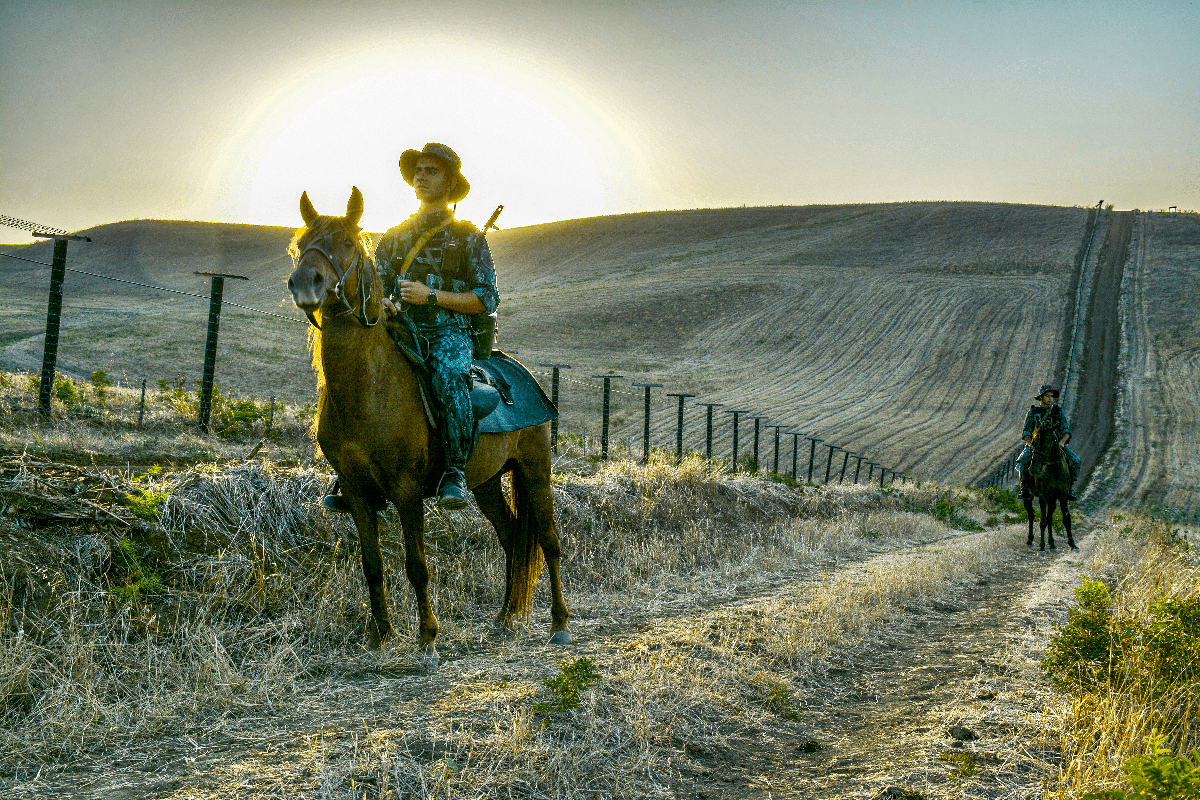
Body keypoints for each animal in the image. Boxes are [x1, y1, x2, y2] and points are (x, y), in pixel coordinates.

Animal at [289, 185, 571, 662]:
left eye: (345, 242)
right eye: (302, 242)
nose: (304, 282)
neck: (366, 388)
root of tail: (519, 372)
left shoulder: (406, 490)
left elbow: (416, 565)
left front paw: (428, 640)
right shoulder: (356, 492)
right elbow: (372, 565)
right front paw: (379, 635)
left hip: (536, 469)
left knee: (548, 541)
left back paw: (560, 624)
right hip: (486, 481)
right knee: (511, 536)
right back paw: (505, 616)